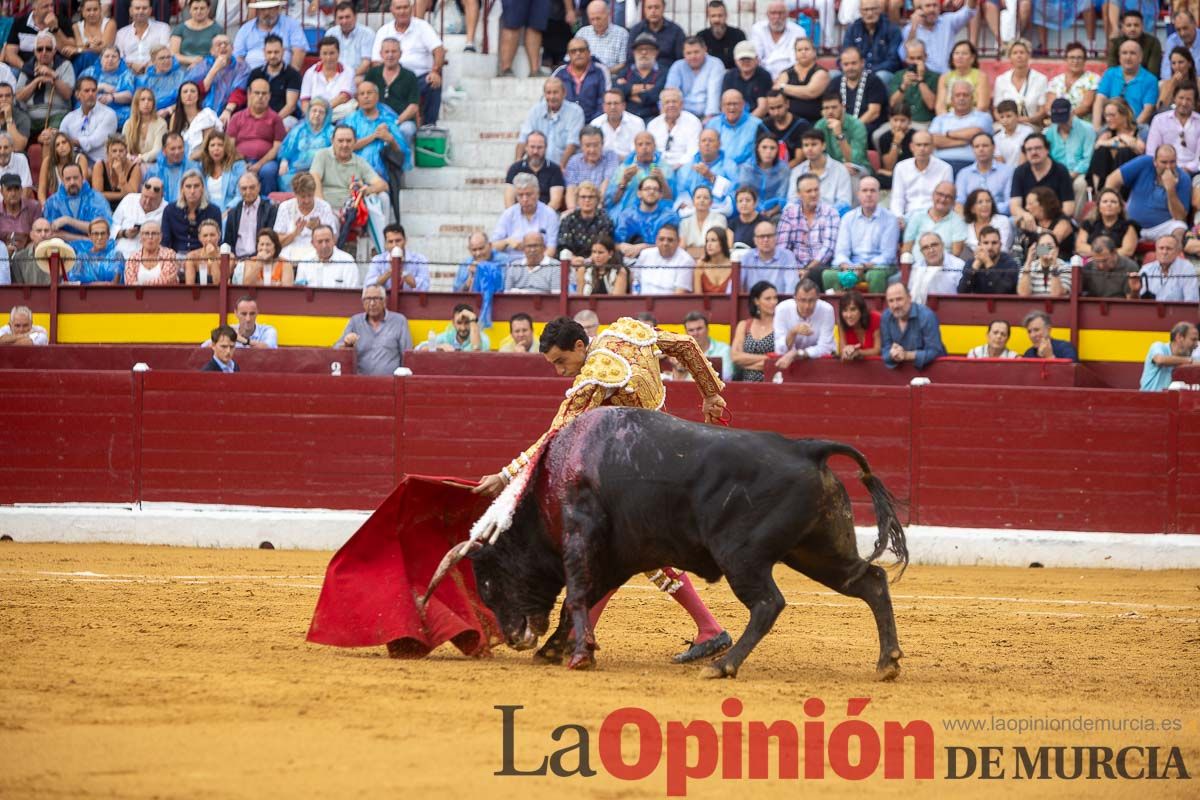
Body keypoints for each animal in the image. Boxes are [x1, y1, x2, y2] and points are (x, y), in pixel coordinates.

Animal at [427, 410, 902, 681]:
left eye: (488, 583)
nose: (512, 638)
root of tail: (806, 449)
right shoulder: (617, 556)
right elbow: (581, 601)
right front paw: (559, 649)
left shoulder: (581, 535)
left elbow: (576, 596)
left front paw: (578, 655)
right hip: (817, 550)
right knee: (871, 581)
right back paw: (887, 662)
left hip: (742, 556)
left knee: (769, 603)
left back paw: (722, 665)